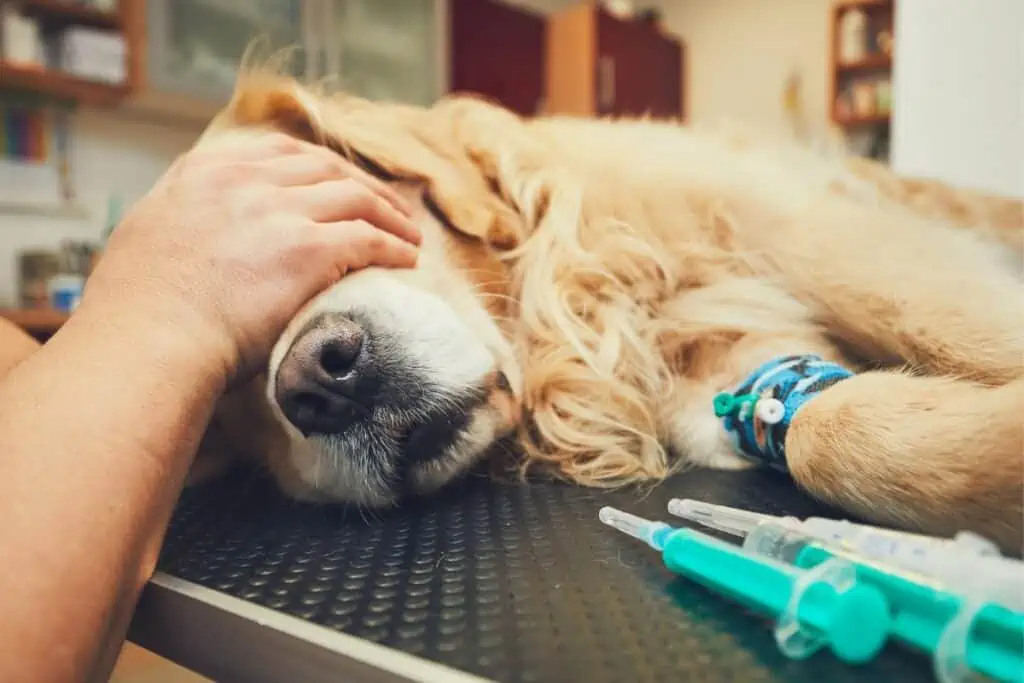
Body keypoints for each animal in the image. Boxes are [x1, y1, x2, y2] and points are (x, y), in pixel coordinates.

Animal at [190, 70, 1024, 557]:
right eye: (224, 390)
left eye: (328, 221)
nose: (318, 382)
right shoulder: (731, 384)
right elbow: (831, 429)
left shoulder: (817, 235)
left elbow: (951, 326)